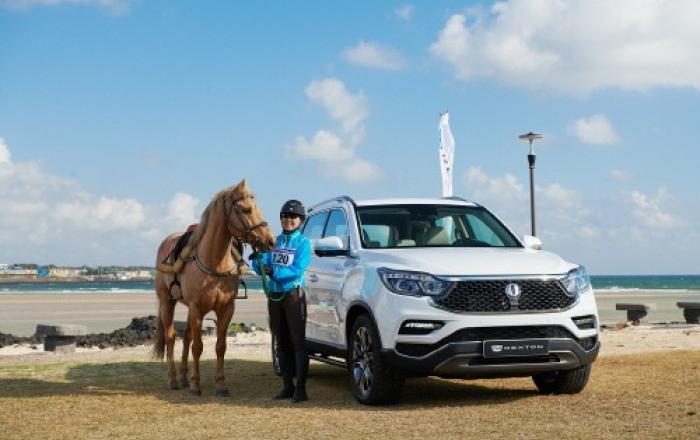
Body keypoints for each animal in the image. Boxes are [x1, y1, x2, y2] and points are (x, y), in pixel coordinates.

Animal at [152, 179, 275, 396]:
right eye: (246, 209)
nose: (270, 240)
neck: (215, 264)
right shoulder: (196, 309)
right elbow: (198, 347)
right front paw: (196, 385)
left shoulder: (226, 309)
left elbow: (220, 346)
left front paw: (220, 384)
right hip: (168, 302)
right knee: (171, 338)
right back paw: (173, 379)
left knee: (186, 338)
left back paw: (183, 378)